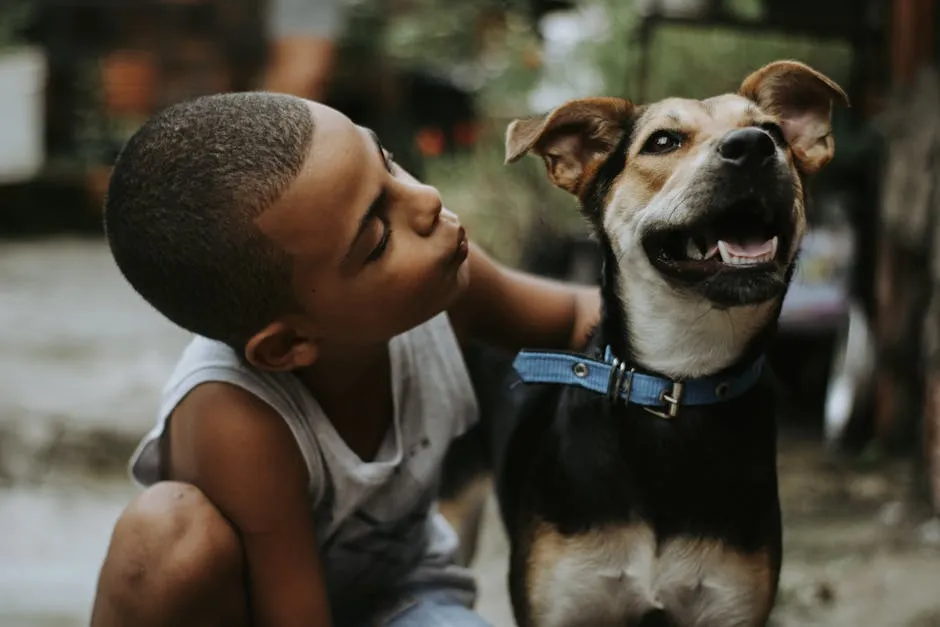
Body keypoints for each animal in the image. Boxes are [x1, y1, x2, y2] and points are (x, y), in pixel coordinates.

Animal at [436, 60, 848, 627]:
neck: (676, 380)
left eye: (775, 133)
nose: (753, 147)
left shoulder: (731, 604)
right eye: (663, 141)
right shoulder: (563, 604)